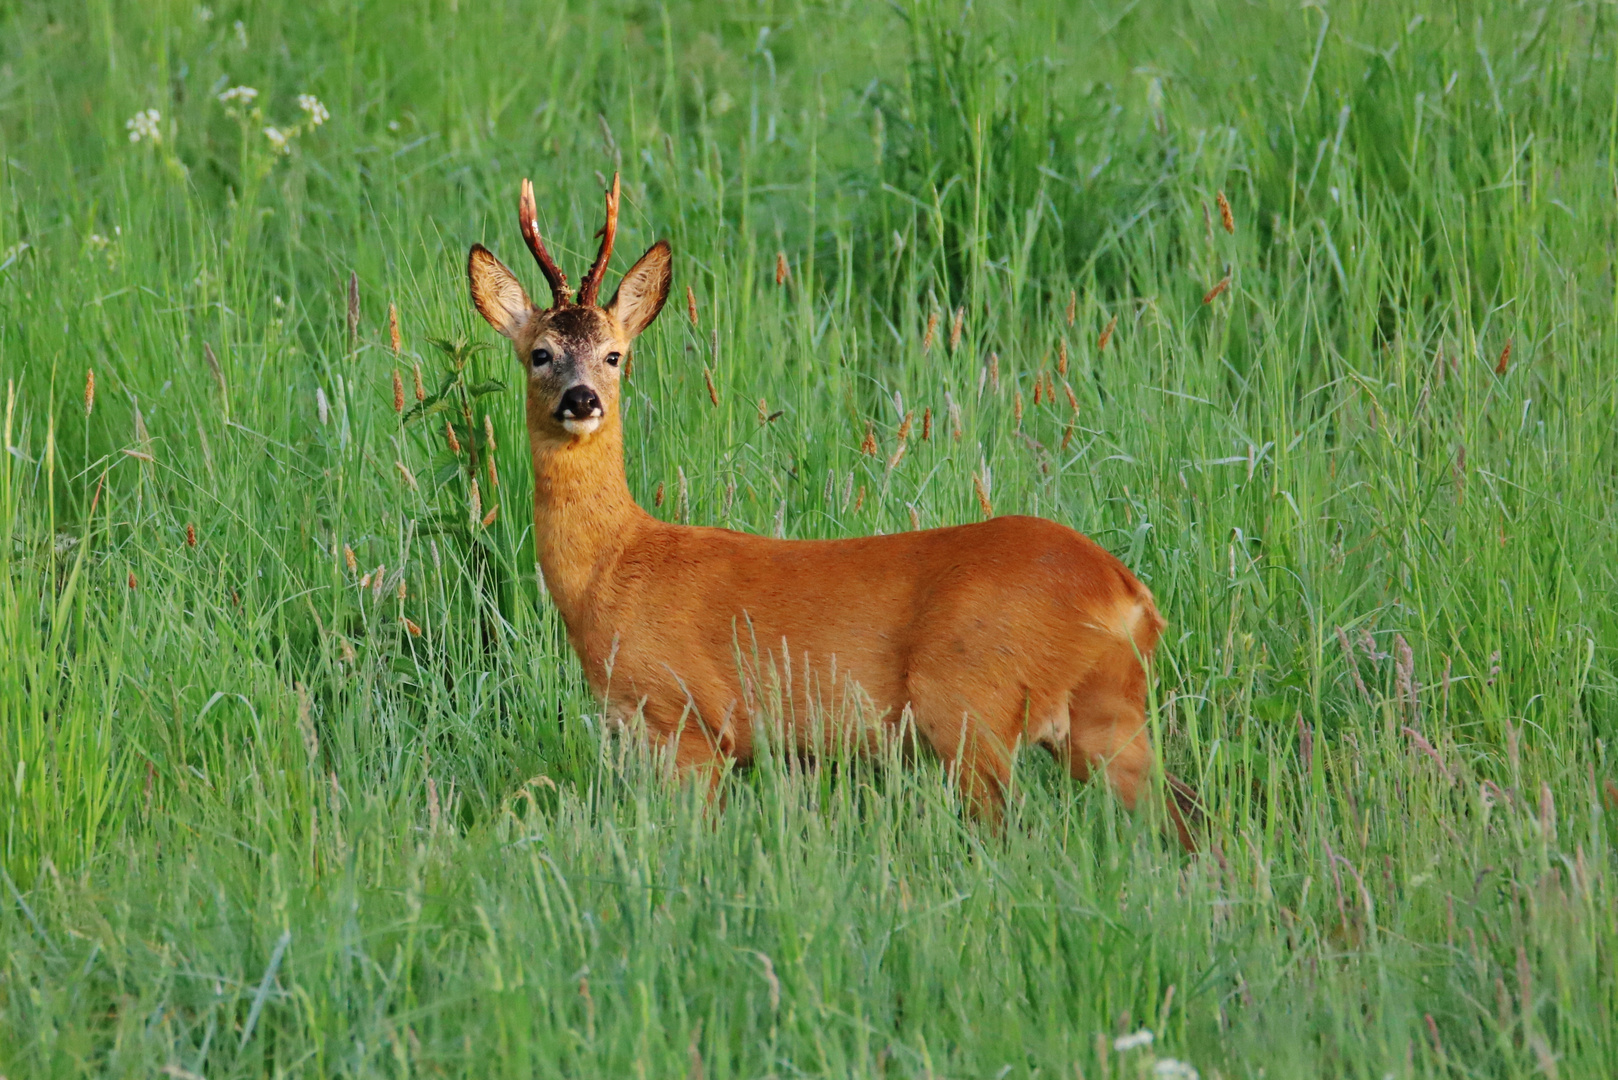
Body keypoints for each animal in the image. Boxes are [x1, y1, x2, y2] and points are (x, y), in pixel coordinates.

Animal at [469, 173, 1203, 848]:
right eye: (541, 353)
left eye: (614, 354)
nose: (582, 399)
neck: (613, 568)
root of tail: (1125, 594)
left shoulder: (687, 720)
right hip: (1106, 713)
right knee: (1187, 816)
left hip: (970, 701)